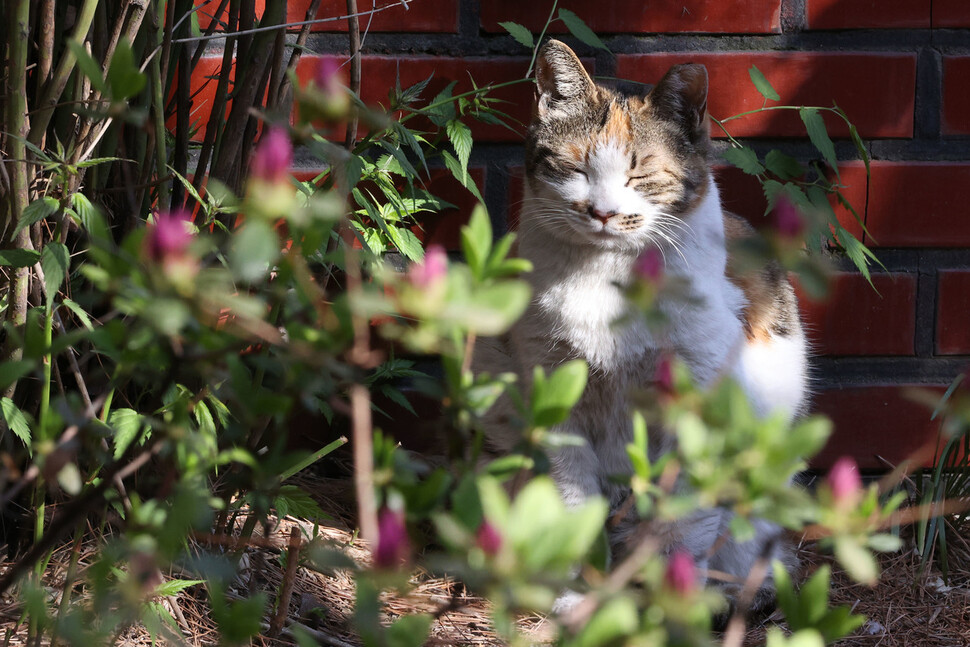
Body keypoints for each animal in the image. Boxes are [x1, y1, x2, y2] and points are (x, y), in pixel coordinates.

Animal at [472, 40, 804, 612]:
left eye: (641, 173)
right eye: (576, 167)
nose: (602, 212)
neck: (608, 281)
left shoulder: (696, 403)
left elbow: (684, 520)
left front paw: (675, 606)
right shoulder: (554, 390)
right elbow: (571, 498)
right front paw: (572, 595)